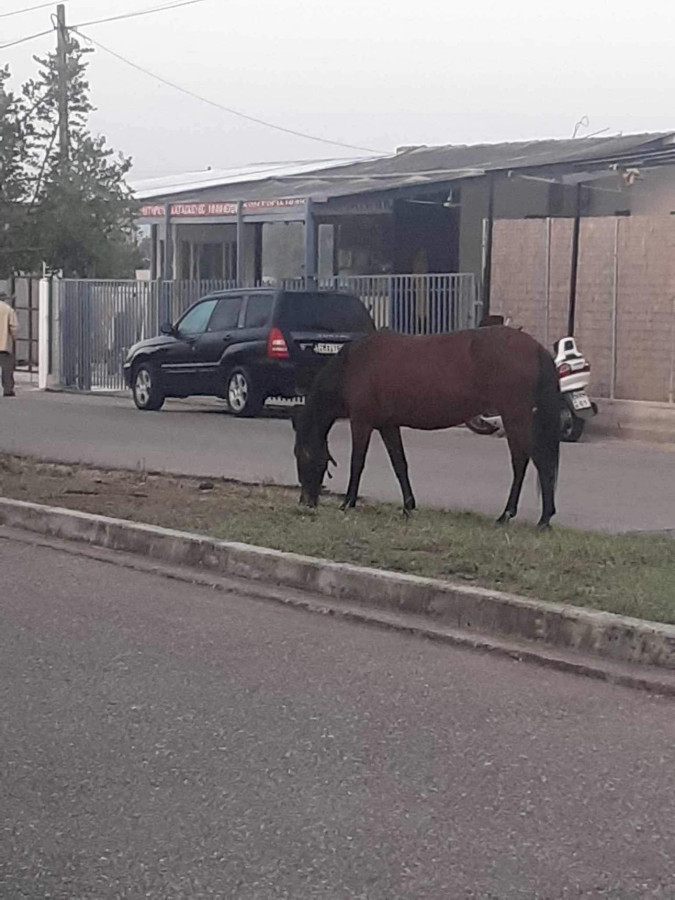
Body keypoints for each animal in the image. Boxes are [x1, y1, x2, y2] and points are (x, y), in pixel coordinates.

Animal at [294, 326, 564, 528]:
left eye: (302, 455)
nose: (306, 502)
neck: (353, 365)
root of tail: (535, 348)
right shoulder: (387, 425)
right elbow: (399, 464)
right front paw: (408, 506)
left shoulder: (362, 422)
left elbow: (357, 463)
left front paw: (348, 503)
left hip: (514, 416)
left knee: (529, 461)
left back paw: (521, 516)